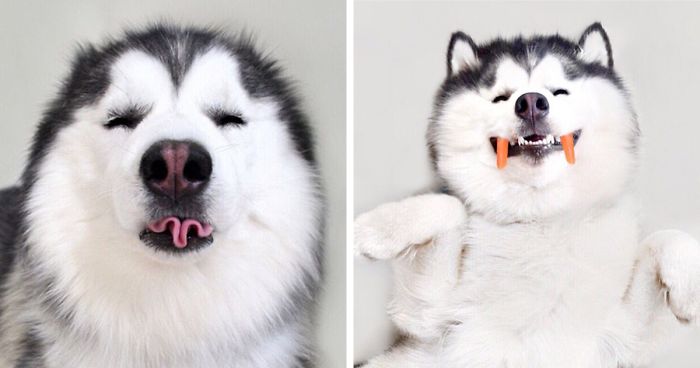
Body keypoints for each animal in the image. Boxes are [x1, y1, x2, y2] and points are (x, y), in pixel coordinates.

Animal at [356, 23, 700, 368]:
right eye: (501, 97)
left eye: (559, 91)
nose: (531, 102)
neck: (539, 217)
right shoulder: (431, 316)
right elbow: (449, 206)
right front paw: (375, 229)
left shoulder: (624, 338)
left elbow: (668, 238)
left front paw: (689, 291)